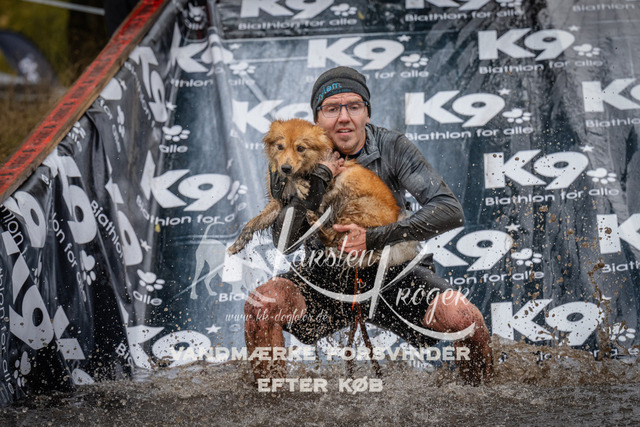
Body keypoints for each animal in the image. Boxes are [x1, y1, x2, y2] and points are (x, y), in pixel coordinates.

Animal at [228, 118, 417, 265]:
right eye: (280, 146)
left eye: (301, 148)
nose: (285, 168)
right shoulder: (277, 203)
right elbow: (252, 223)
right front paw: (238, 243)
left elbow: (305, 179)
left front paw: (300, 183)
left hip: (351, 207)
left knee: (332, 238)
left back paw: (315, 221)